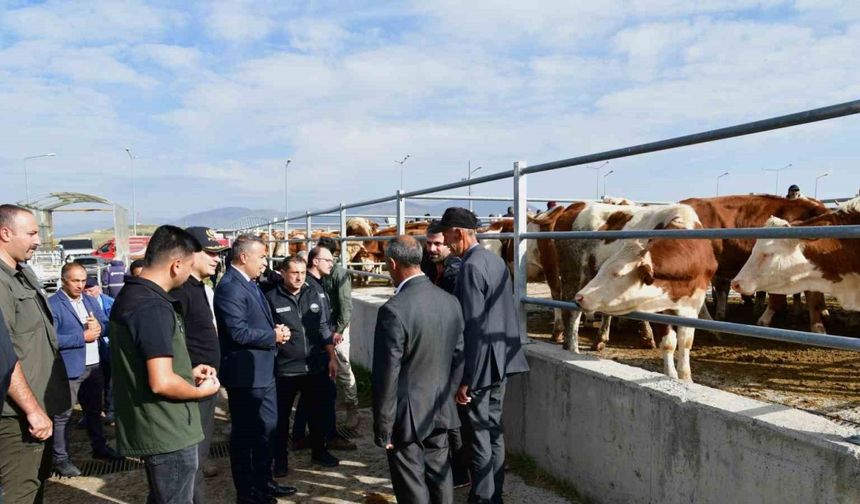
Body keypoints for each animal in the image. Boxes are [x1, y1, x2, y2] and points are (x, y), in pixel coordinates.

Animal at [576, 203, 724, 380]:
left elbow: (685, 342)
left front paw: (685, 378)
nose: (580, 297)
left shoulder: (693, 305)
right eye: (602, 269)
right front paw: (671, 376)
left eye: (617, 273)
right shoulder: (658, 307)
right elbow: (668, 343)